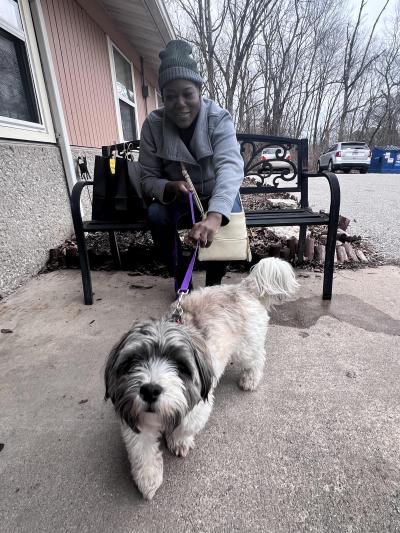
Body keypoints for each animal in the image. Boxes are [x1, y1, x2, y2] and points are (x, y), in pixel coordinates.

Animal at [104, 258, 298, 498]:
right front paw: (148, 478)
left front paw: (178, 440)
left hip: (246, 348)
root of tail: (242, 288)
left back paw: (250, 379)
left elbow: (185, 425)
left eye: (180, 365)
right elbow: (142, 449)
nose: (150, 390)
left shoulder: (198, 403)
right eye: (133, 361)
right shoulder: (133, 414)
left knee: (257, 358)